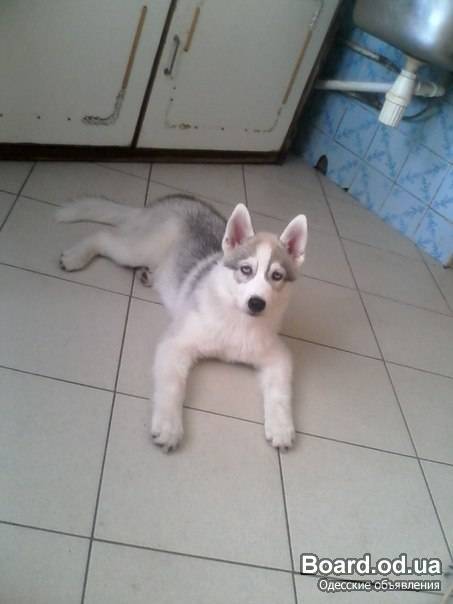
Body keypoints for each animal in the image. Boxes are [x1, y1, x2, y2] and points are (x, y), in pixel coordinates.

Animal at [56, 194, 308, 452]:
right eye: (246, 269)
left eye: (276, 276)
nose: (257, 303)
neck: (237, 320)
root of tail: (172, 200)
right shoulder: (176, 343)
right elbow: (172, 387)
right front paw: (169, 425)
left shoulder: (277, 355)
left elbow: (280, 393)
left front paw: (281, 427)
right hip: (140, 248)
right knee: (105, 237)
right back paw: (77, 256)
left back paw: (147, 275)